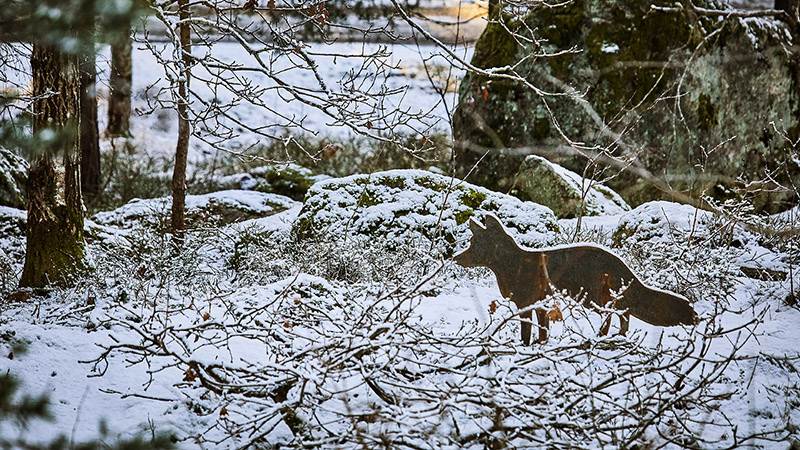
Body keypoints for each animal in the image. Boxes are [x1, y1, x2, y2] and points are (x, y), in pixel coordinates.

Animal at [454, 214, 696, 344]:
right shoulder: (541, 304)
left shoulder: (525, 304)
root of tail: (618, 260)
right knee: (623, 313)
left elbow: (526, 332)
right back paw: (619, 337)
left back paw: (601, 337)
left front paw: (525, 346)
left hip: (591, 298)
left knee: (612, 314)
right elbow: (542, 330)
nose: (454, 257)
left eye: (473, 245)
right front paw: (540, 345)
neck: (512, 265)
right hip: (604, 296)